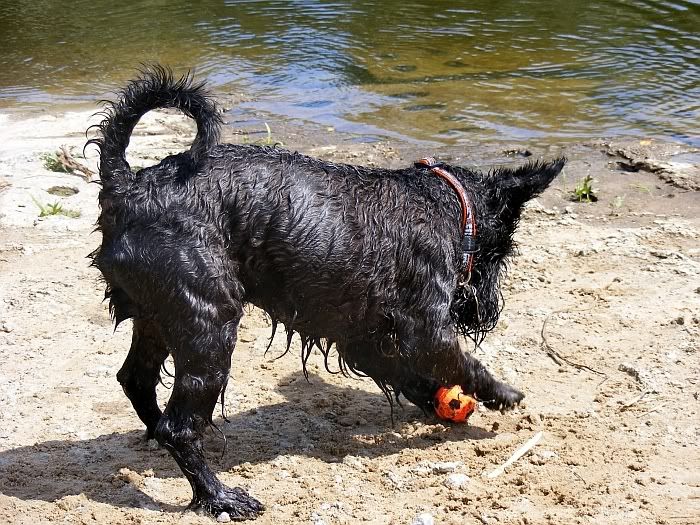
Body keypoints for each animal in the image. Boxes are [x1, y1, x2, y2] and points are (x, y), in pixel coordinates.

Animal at [88, 66, 564, 520]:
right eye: (501, 253)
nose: (489, 311)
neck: (446, 206)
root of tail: (128, 186)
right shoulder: (425, 330)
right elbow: (463, 363)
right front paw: (504, 394)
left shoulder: (365, 337)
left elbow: (411, 374)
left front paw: (437, 401)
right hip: (208, 326)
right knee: (180, 426)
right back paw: (218, 496)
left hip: (158, 317)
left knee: (136, 382)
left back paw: (157, 439)